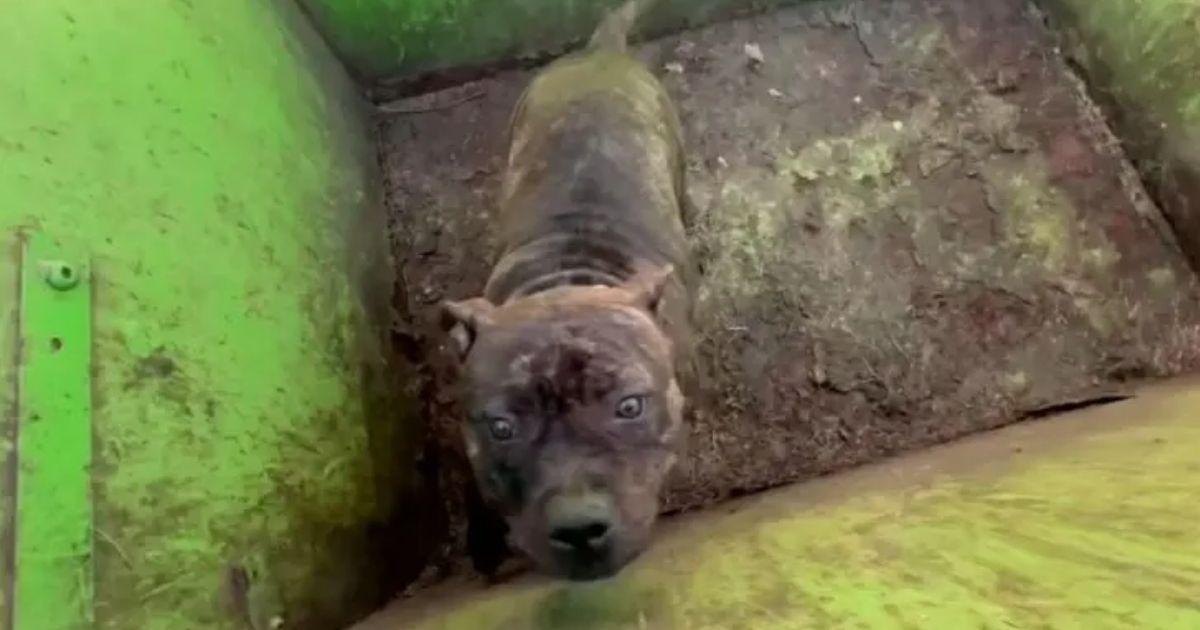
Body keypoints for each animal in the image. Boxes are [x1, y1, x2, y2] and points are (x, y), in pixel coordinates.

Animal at [444, 0, 696, 580]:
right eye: (501, 427)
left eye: (630, 407)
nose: (579, 528)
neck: (568, 277)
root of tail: (601, 54)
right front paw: (483, 544)